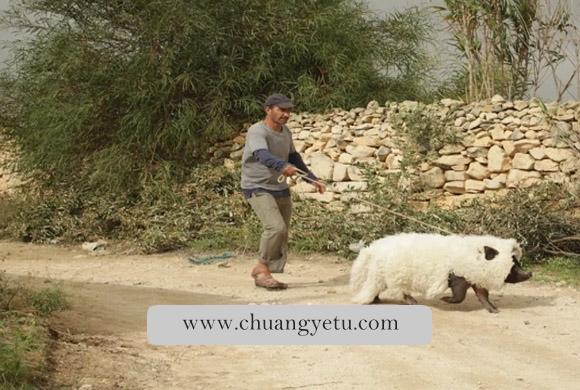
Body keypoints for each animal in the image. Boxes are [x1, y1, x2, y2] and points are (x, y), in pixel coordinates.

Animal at [352, 233, 532, 312]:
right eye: (513, 265)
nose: (529, 273)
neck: (473, 260)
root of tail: (372, 249)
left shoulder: (473, 279)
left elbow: (483, 296)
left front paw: (495, 310)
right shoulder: (458, 277)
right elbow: (460, 296)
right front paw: (443, 299)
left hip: (383, 275)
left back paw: (376, 301)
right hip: (392, 276)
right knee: (397, 291)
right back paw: (413, 303)